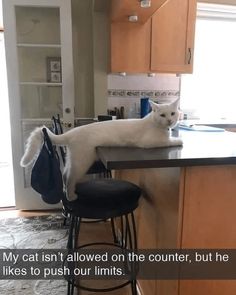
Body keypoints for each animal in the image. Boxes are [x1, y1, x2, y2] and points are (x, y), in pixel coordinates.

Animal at [20, 100, 183, 201]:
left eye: (172, 113)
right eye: (162, 115)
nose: (170, 121)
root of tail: (72, 132)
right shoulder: (150, 143)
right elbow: (170, 141)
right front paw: (179, 140)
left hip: (73, 160)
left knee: (65, 174)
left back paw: (66, 191)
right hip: (82, 162)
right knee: (70, 177)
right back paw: (71, 196)